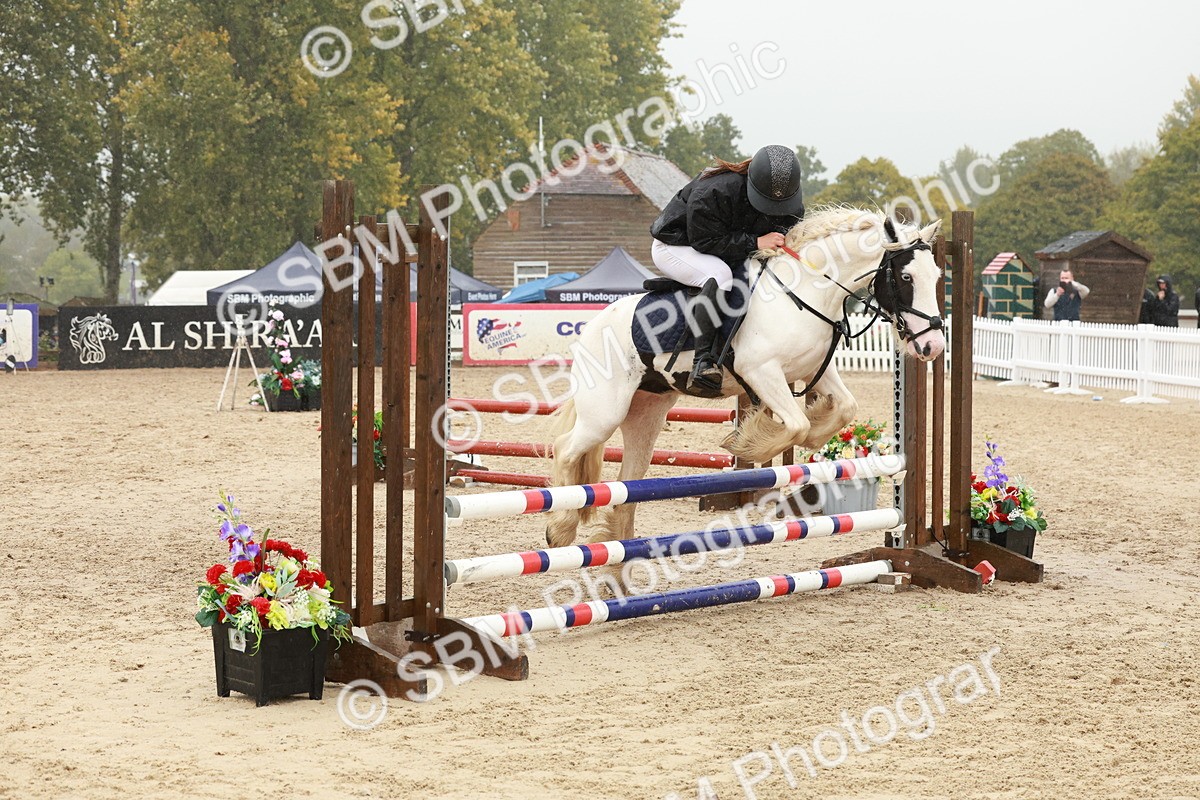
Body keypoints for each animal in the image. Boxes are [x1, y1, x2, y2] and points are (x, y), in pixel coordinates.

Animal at [544, 207, 947, 548]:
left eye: (938, 278)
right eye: (906, 276)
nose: (933, 346)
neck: (805, 292)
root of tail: (593, 325)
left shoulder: (815, 371)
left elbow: (845, 408)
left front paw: (813, 433)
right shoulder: (761, 372)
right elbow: (796, 424)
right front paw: (750, 442)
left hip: (647, 412)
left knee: (628, 479)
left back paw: (620, 559)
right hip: (605, 412)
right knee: (565, 449)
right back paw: (560, 529)